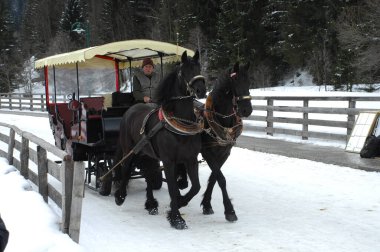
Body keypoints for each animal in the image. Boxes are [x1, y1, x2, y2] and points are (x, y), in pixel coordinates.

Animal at [114, 50, 206, 229]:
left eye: (199, 68)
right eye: (183, 71)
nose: (201, 90)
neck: (180, 124)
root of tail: (130, 110)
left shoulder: (190, 159)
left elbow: (196, 187)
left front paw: (180, 202)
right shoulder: (169, 161)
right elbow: (171, 188)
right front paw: (177, 218)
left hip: (147, 153)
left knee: (148, 173)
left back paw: (150, 203)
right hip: (129, 149)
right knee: (125, 168)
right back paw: (120, 196)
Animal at [199, 62, 252, 221]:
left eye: (249, 81)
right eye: (235, 81)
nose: (247, 110)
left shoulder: (224, 153)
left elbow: (213, 177)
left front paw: (207, 204)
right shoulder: (207, 152)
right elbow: (221, 179)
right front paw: (229, 210)